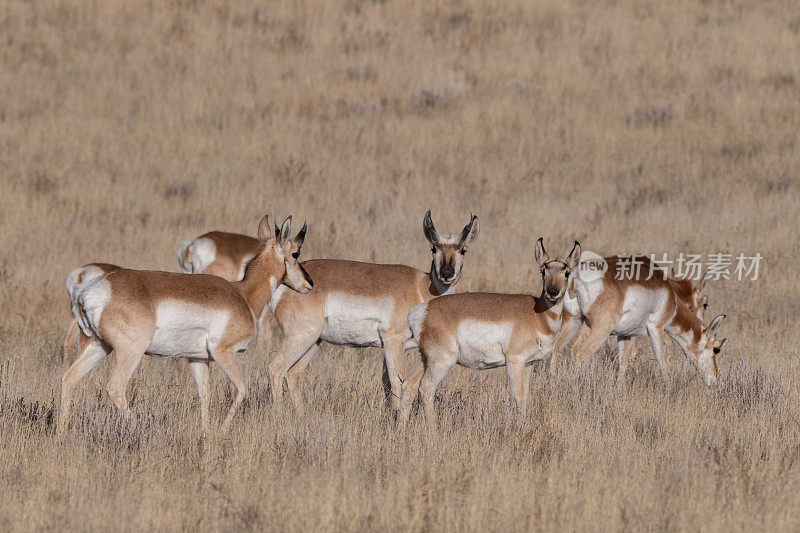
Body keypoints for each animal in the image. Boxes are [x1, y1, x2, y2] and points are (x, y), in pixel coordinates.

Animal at [56, 214, 310, 434]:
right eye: (296, 253)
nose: (310, 284)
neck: (243, 294)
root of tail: (87, 289)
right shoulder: (224, 353)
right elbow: (242, 389)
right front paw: (222, 430)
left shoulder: (197, 359)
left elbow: (205, 394)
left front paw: (206, 433)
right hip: (130, 351)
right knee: (115, 387)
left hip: (97, 346)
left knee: (69, 379)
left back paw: (61, 434)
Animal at [268, 209, 482, 412]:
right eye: (433, 248)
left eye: (463, 250)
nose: (447, 274)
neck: (420, 286)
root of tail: (282, 286)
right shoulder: (393, 341)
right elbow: (397, 384)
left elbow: (388, 385)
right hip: (301, 337)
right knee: (276, 368)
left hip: (314, 341)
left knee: (292, 374)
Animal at [400, 239, 580, 422]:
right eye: (543, 271)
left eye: (567, 273)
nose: (552, 292)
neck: (538, 315)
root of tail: (423, 310)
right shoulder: (514, 362)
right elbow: (518, 396)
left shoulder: (529, 364)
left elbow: (525, 397)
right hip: (441, 362)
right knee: (426, 389)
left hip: (427, 361)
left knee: (409, 386)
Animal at [552, 255, 720, 382]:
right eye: (716, 349)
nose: (714, 379)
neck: (670, 296)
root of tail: (575, 276)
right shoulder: (657, 329)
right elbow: (662, 362)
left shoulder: (624, 334)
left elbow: (623, 364)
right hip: (601, 330)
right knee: (580, 354)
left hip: (575, 321)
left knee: (558, 347)